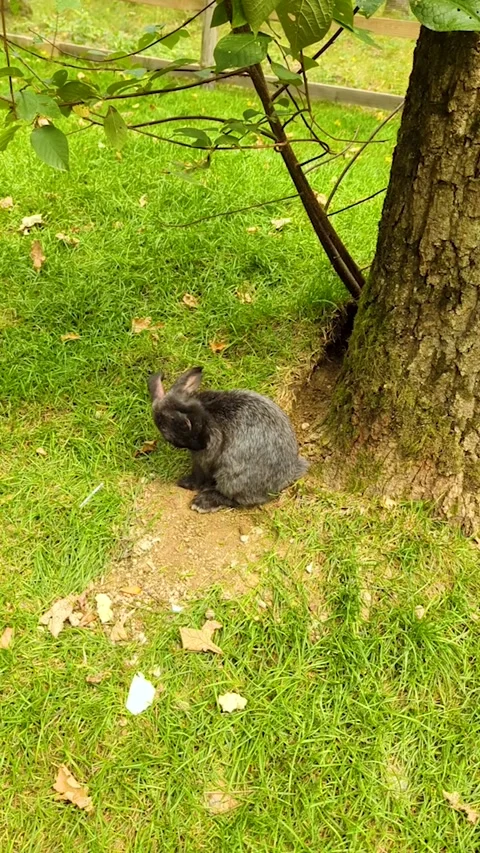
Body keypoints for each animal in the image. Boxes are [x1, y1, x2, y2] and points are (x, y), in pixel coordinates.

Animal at [147, 366, 309, 513]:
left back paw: (202, 502)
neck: (207, 418)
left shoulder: (204, 459)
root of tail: (288, 475)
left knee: (235, 499)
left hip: (232, 476)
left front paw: (185, 483)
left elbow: (199, 474)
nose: (202, 444)